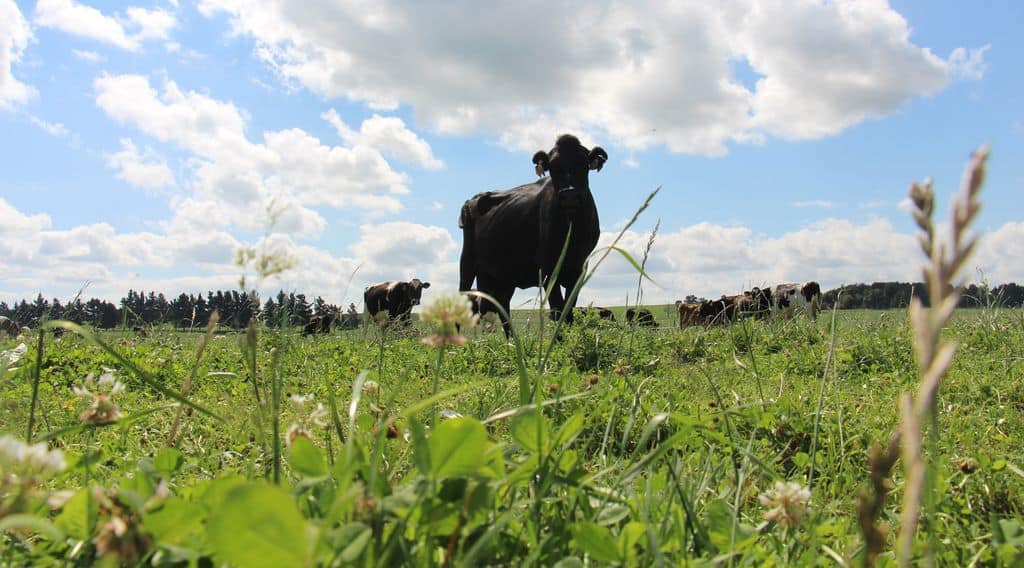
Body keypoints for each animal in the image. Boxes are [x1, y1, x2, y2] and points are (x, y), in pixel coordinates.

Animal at [458, 134, 606, 335]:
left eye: (584, 165)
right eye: (553, 168)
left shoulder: (579, 268)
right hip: (468, 261)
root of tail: (472, 199)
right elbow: (557, 309)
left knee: (503, 306)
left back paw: (512, 339)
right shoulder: (548, 267)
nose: (569, 196)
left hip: (503, 274)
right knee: (462, 294)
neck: (571, 231)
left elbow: (568, 311)